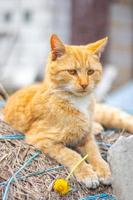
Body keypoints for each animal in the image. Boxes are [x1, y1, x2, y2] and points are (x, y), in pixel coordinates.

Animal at [1, 33, 133, 188]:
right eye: (72, 72)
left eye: (90, 72)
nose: (84, 84)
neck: (77, 102)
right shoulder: (42, 138)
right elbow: (72, 155)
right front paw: (87, 174)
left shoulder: (86, 138)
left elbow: (95, 153)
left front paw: (104, 170)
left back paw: (96, 127)